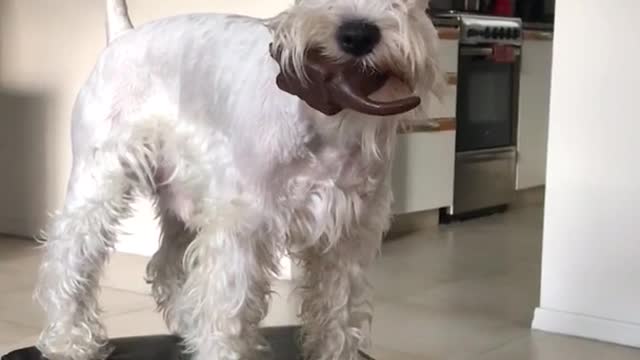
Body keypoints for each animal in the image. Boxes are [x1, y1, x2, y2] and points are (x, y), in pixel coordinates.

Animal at [36, 0, 440, 358]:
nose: (357, 36)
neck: (325, 121)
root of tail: (124, 35)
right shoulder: (242, 227)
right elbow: (228, 312)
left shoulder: (348, 235)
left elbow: (339, 315)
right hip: (98, 184)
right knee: (66, 259)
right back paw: (70, 342)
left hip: (187, 201)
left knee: (165, 266)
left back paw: (188, 327)